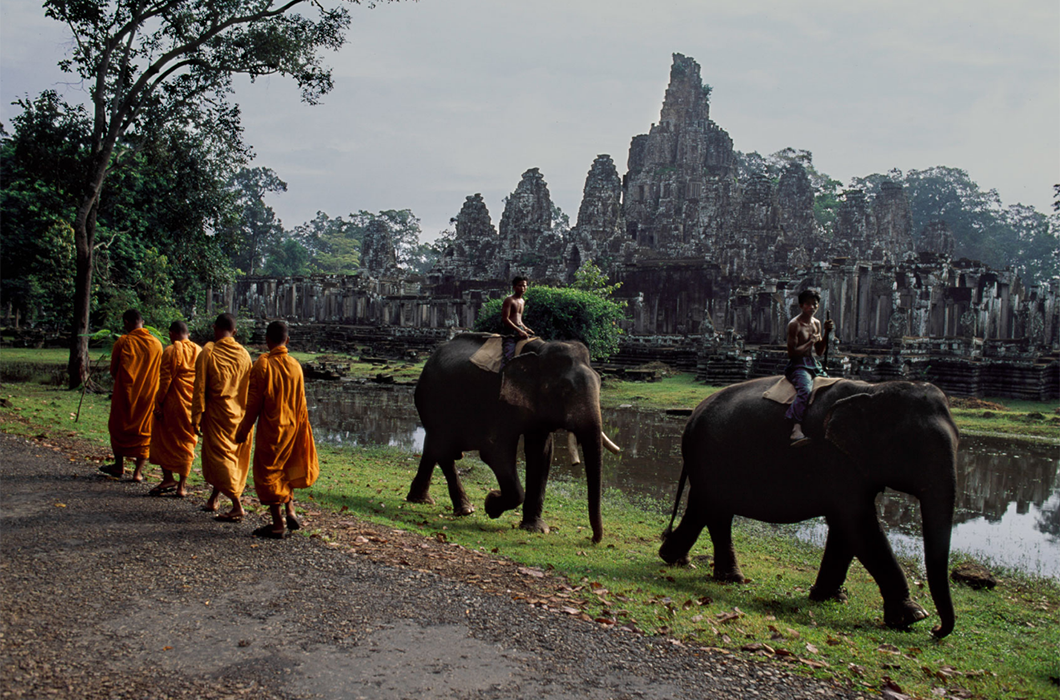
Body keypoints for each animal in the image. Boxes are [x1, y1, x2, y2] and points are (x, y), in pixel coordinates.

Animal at [407, 333, 619, 540]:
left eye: (600, 383)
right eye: (565, 389)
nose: (593, 539)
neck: (540, 350)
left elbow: (541, 453)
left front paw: (535, 528)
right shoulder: (499, 403)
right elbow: (494, 452)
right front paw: (491, 503)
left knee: (434, 447)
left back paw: (423, 500)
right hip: (431, 399)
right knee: (443, 447)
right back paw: (464, 509)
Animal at [657, 379, 958, 636]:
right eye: (915, 449)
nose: (937, 631)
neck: (874, 390)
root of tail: (693, 415)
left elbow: (846, 527)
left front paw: (829, 597)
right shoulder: (833, 459)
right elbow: (857, 523)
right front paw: (914, 616)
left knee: (706, 507)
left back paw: (678, 559)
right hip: (710, 455)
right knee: (715, 511)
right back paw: (725, 576)